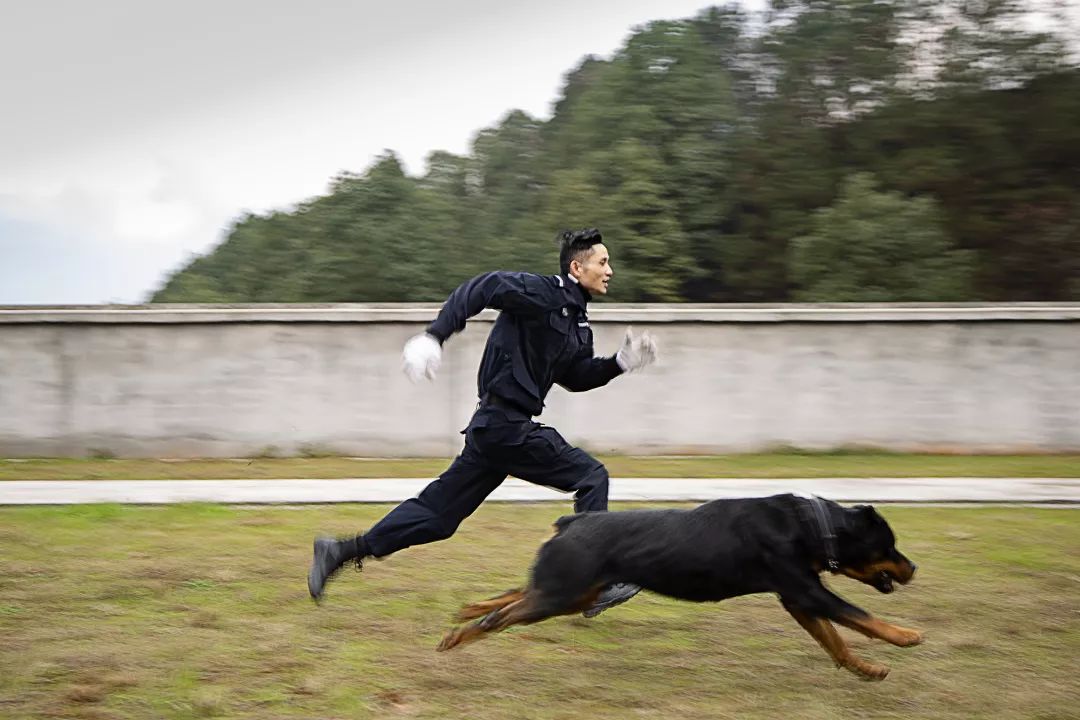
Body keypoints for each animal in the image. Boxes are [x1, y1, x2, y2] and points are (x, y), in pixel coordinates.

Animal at [438, 492, 920, 677]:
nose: (913, 567)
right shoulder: (806, 590)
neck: (811, 526)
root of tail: (570, 521)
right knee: (504, 616)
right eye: (890, 545)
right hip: (561, 595)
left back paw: (468, 612)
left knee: (516, 594)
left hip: (575, 591)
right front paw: (906, 635)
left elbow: (834, 640)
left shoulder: (796, 598)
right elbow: (859, 616)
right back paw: (460, 636)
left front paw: (866, 670)